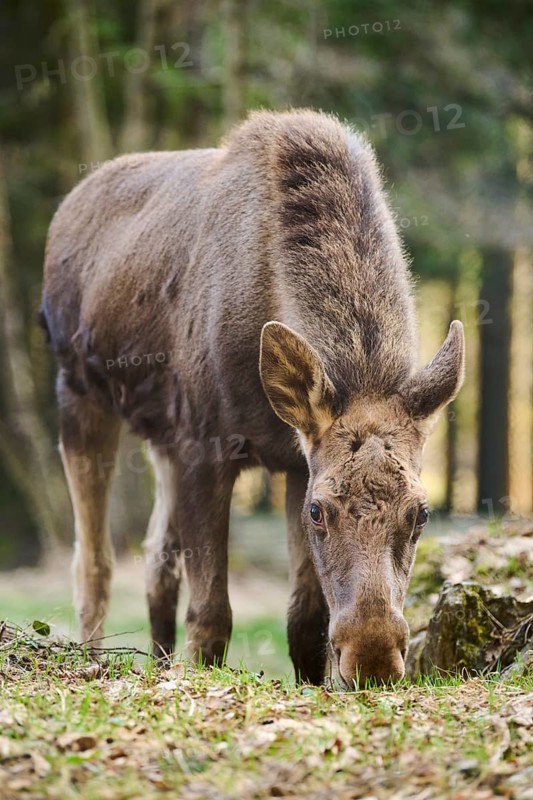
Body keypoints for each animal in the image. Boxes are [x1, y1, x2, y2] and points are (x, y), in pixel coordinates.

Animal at [40, 109, 465, 687]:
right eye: (319, 511)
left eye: (421, 513)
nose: (374, 660)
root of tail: (70, 203)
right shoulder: (206, 446)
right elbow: (211, 616)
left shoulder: (291, 460)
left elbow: (304, 620)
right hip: (80, 392)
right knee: (94, 560)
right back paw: (93, 661)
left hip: (161, 436)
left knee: (155, 559)